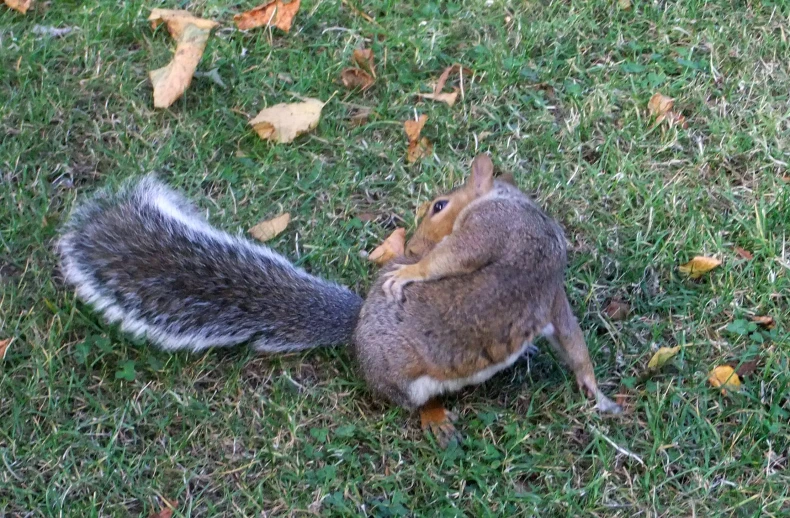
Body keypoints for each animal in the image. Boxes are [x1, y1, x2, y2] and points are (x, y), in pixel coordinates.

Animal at [58, 153, 620, 446]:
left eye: (439, 205)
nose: (411, 246)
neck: (518, 208)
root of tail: (354, 332)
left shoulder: (540, 286)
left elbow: (572, 343)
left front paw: (596, 393)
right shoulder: (497, 236)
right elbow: (450, 261)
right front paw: (410, 270)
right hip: (404, 380)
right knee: (407, 404)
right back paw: (436, 420)